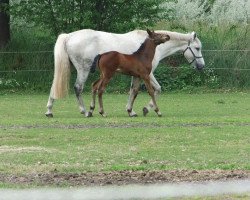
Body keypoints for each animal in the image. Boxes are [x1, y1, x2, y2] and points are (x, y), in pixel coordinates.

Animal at [45, 28, 205, 118]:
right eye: (197, 48)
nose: (201, 66)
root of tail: (68, 36)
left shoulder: (137, 75)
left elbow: (133, 91)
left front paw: (131, 110)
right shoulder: (148, 74)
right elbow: (155, 89)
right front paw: (146, 109)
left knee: (54, 87)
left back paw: (49, 111)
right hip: (83, 70)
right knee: (79, 88)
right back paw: (85, 111)